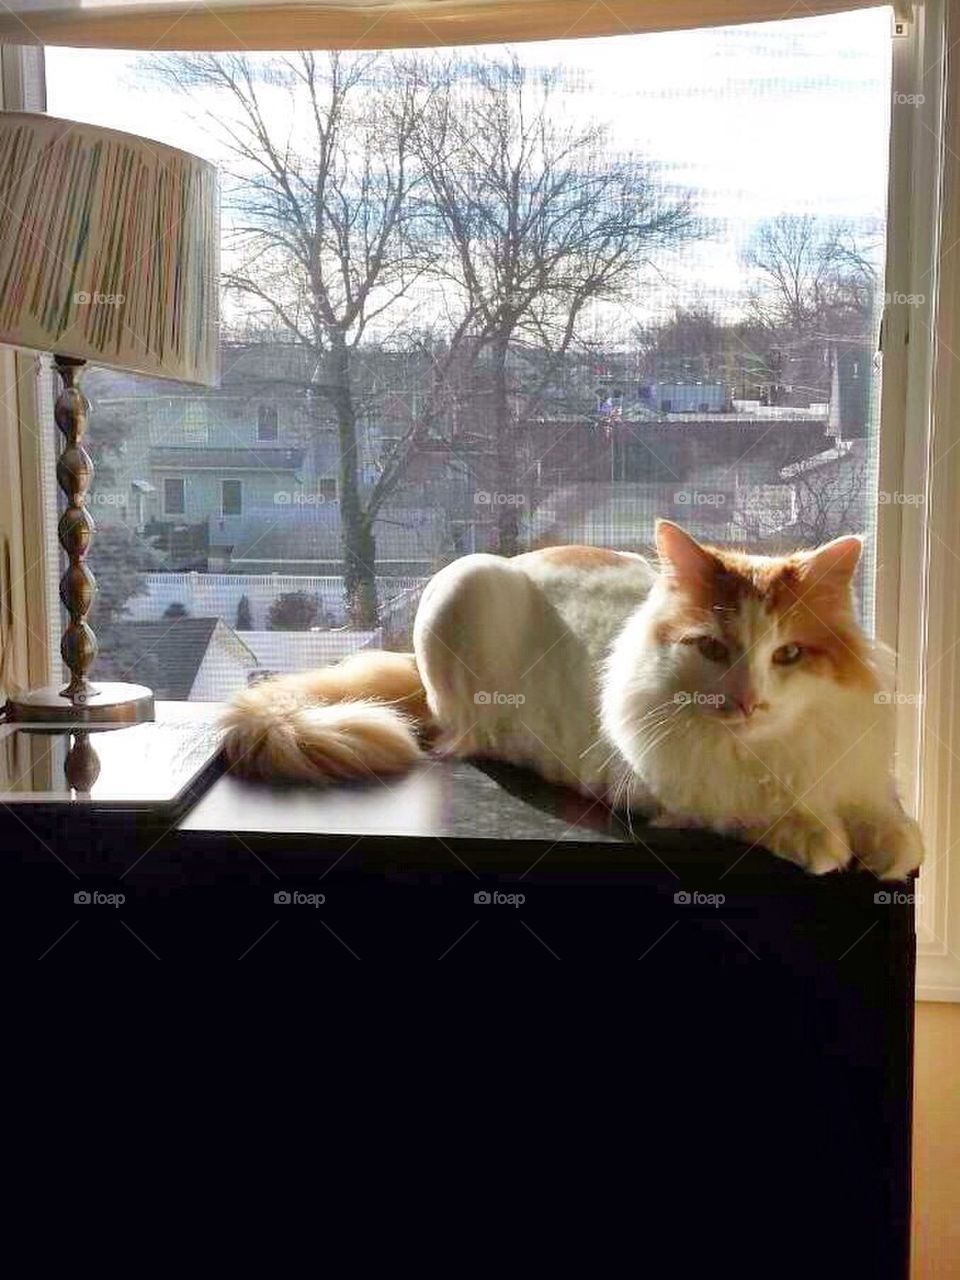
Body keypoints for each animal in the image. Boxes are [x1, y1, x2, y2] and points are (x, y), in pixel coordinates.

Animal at [224, 519, 926, 880]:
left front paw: (891, 849)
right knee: (455, 732)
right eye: (712, 648)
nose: (747, 702)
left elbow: (890, 820)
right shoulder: (665, 792)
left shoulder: (858, 775)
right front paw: (821, 841)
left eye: (788, 655)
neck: (771, 751)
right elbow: (756, 809)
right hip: (461, 590)